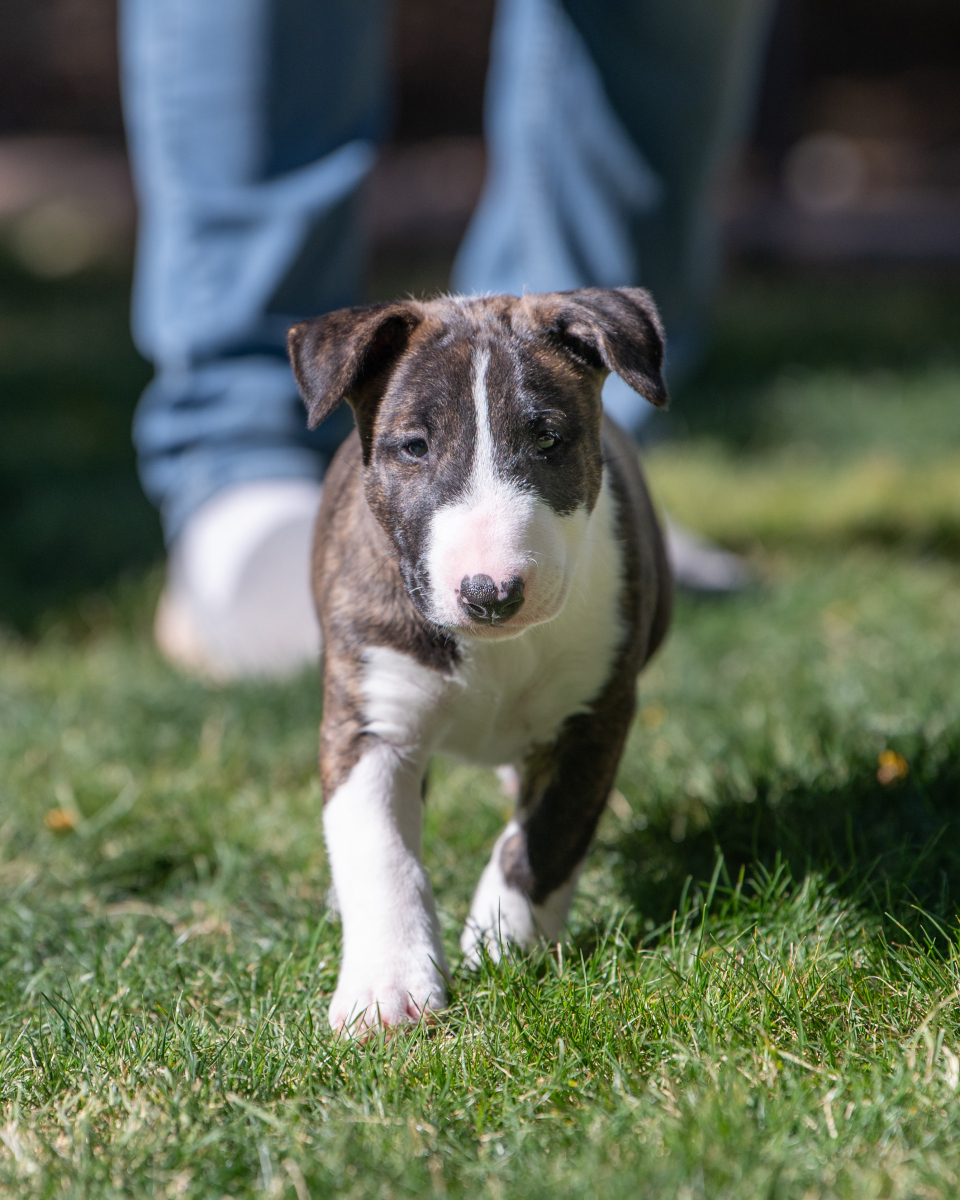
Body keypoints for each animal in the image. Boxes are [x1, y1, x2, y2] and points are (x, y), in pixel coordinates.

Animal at [289, 283, 672, 1032]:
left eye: (548, 439)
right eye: (413, 446)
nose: (491, 593)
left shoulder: (596, 716)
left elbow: (543, 838)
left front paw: (500, 943)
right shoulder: (368, 724)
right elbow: (380, 853)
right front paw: (385, 993)